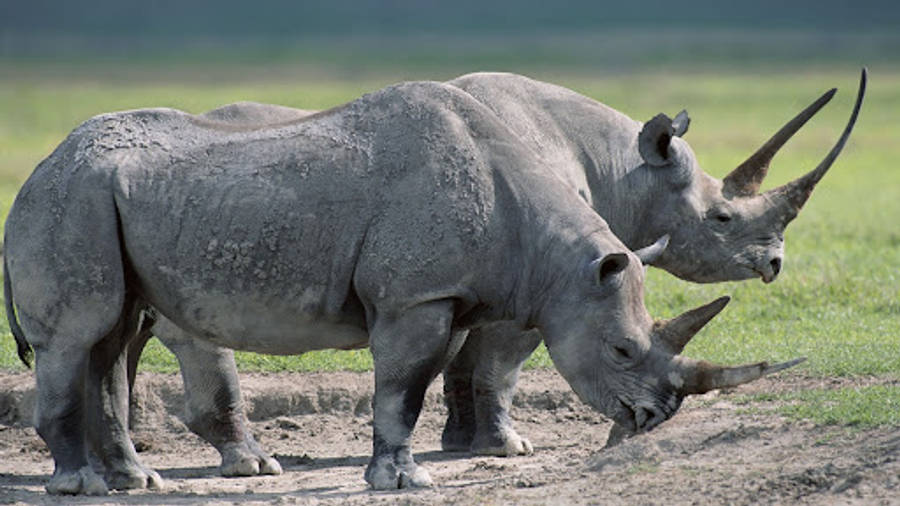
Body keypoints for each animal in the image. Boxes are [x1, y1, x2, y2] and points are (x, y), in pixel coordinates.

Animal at [3, 79, 803, 495]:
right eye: (624, 352)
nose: (655, 417)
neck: (554, 256)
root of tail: (37, 169)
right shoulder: (415, 297)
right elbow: (404, 386)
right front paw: (404, 481)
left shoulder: (450, 293)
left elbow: (425, 382)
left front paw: (408, 465)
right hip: (71, 198)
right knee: (80, 336)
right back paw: (81, 486)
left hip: (105, 199)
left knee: (113, 338)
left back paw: (137, 482)